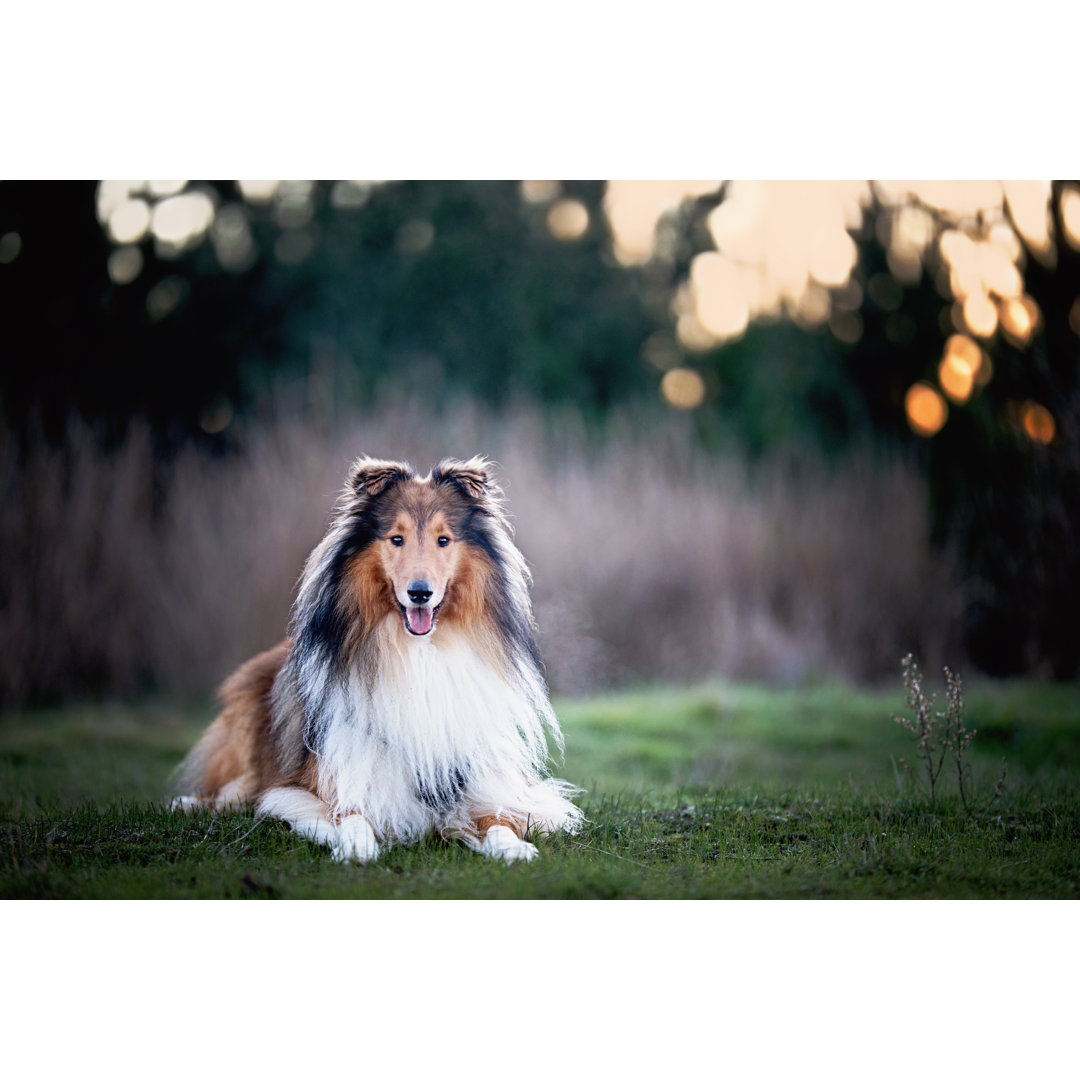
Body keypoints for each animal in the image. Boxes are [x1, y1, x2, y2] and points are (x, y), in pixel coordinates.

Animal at [170, 453, 583, 859]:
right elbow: (352, 819)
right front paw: (355, 846)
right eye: (396, 539)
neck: (420, 653)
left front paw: (513, 847)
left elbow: (499, 819)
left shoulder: (485, 776)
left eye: (443, 540)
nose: (420, 593)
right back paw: (187, 803)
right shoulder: (324, 781)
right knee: (229, 790)